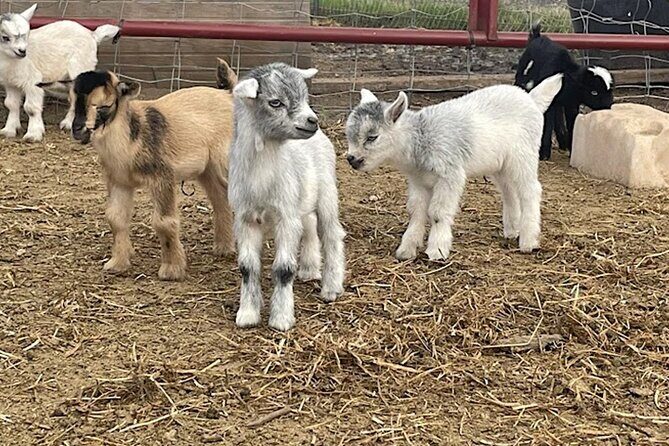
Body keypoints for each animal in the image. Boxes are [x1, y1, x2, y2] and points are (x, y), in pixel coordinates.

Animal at [0, 4, 120, 142]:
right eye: (5, 37)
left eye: (26, 35)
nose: (22, 51)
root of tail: (93, 34)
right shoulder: (10, 83)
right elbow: (11, 104)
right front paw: (8, 130)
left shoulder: (33, 81)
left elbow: (31, 108)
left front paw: (33, 135)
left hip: (81, 66)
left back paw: (68, 124)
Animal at [69, 59, 237, 280]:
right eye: (73, 103)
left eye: (105, 106)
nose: (77, 130)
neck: (133, 135)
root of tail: (228, 95)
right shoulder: (119, 180)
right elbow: (115, 218)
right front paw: (117, 264)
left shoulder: (162, 175)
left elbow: (163, 222)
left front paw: (171, 270)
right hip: (208, 170)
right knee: (221, 200)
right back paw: (224, 248)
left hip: (226, 161)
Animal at [229, 62, 345, 331]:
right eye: (275, 102)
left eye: (305, 97)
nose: (312, 120)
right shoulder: (245, 218)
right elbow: (247, 268)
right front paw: (247, 314)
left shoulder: (285, 217)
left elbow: (283, 269)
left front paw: (281, 319)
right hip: (302, 200)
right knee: (310, 227)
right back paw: (309, 270)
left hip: (327, 193)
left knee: (332, 235)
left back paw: (331, 288)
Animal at [346, 75, 563, 261]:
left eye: (372, 137)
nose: (351, 159)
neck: (421, 138)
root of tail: (531, 99)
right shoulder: (418, 180)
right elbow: (416, 211)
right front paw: (406, 250)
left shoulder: (450, 174)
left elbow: (437, 213)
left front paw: (437, 251)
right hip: (500, 165)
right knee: (509, 192)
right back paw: (512, 231)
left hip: (523, 155)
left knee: (530, 191)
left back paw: (528, 241)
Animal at [514, 23, 614, 160]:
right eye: (594, 92)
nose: (608, 106)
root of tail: (537, 37)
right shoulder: (551, 103)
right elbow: (547, 126)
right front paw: (544, 155)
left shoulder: (571, 104)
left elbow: (572, 123)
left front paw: (572, 150)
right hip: (522, 81)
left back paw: (563, 143)